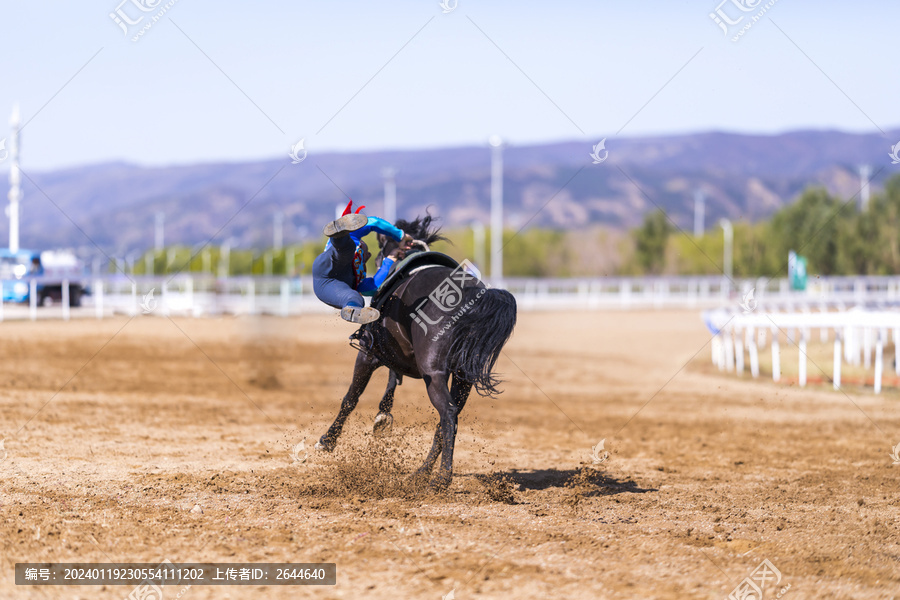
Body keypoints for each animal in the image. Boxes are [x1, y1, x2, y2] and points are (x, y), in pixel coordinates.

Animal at [314, 216, 516, 488]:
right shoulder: (394, 354)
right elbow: (392, 379)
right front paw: (383, 417)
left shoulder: (368, 354)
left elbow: (350, 398)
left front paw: (327, 441)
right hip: (463, 378)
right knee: (447, 421)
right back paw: (422, 472)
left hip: (434, 373)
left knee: (448, 413)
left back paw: (441, 478)